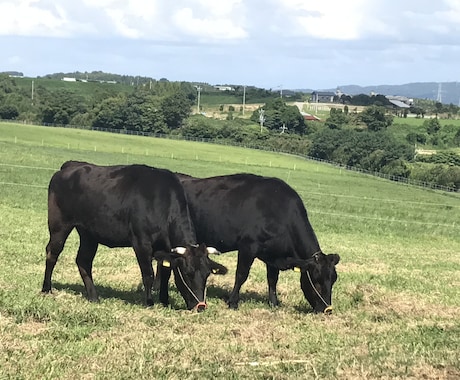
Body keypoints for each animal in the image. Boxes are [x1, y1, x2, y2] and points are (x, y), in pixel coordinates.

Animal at [41, 161, 226, 312]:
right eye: (187, 274)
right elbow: (148, 274)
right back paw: (46, 289)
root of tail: (71, 166)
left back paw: (93, 296)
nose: (200, 306)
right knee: (52, 253)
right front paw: (149, 302)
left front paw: (165, 301)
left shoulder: (165, 249)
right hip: (59, 225)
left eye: (207, 274)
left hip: (88, 233)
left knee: (83, 261)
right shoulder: (141, 243)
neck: (161, 202)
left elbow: (165, 273)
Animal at [174, 174, 340, 314]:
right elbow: (241, 275)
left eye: (333, 280)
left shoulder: (273, 254)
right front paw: (233, 302)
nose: (327, 309)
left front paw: (274, 302)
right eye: (317, 280)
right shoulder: (248, 246)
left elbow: (272, 279)